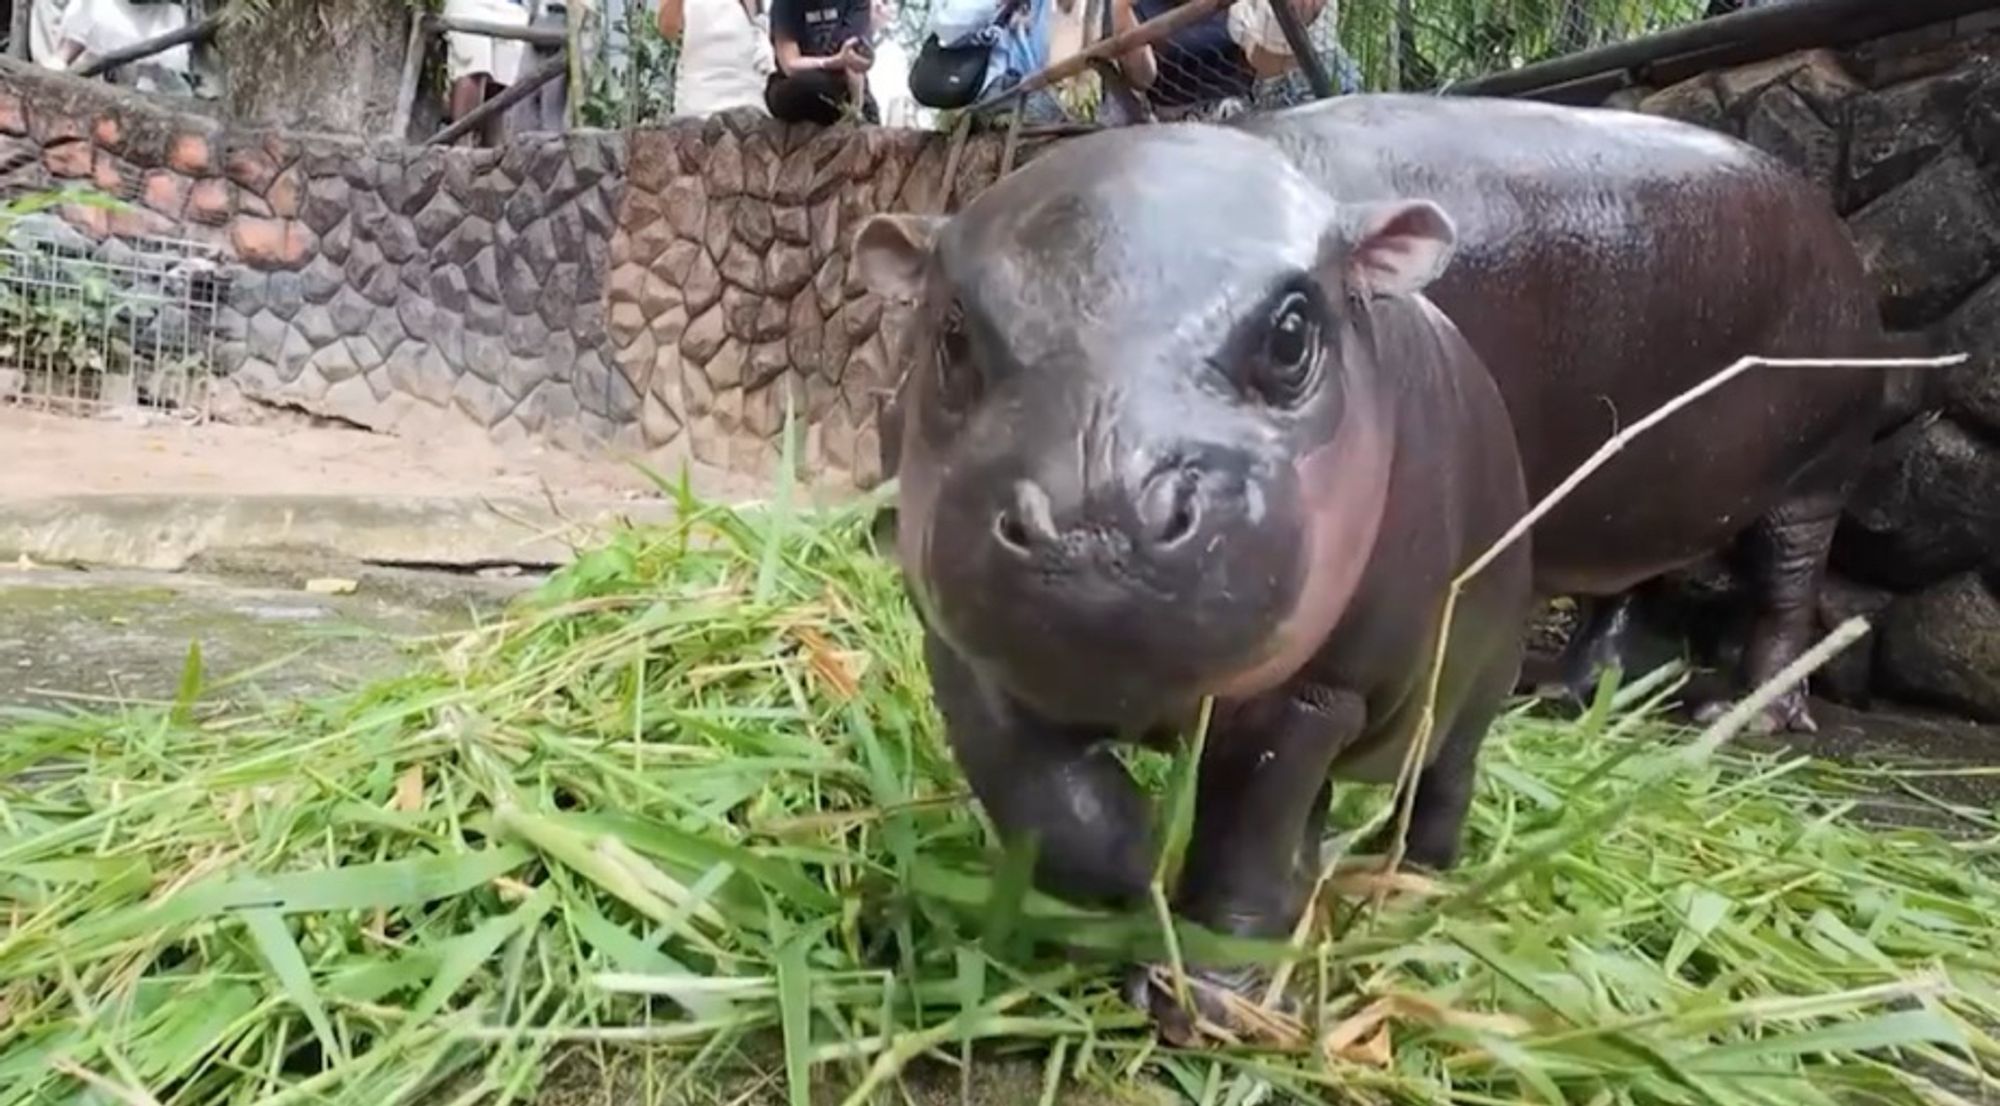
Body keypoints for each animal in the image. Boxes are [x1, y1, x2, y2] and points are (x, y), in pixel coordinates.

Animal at [856, 125, 1528, 1032]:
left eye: (1292, 333)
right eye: (953, 332)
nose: (1094, 523)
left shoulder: (1318, 693)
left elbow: (1246, 828)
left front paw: (1207, 1000)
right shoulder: (964, 652)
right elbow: (1042, 792)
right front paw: (1132, 884)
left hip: (1476, 690)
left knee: (1439, 787)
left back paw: (1411, 884)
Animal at [1232, 95, 1888, 732]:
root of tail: (1844, 243)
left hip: (1810, 481)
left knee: (1786, 595)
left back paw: (1742, 715)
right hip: (1643, 485)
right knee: (1627, 594)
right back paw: (1566, 694)